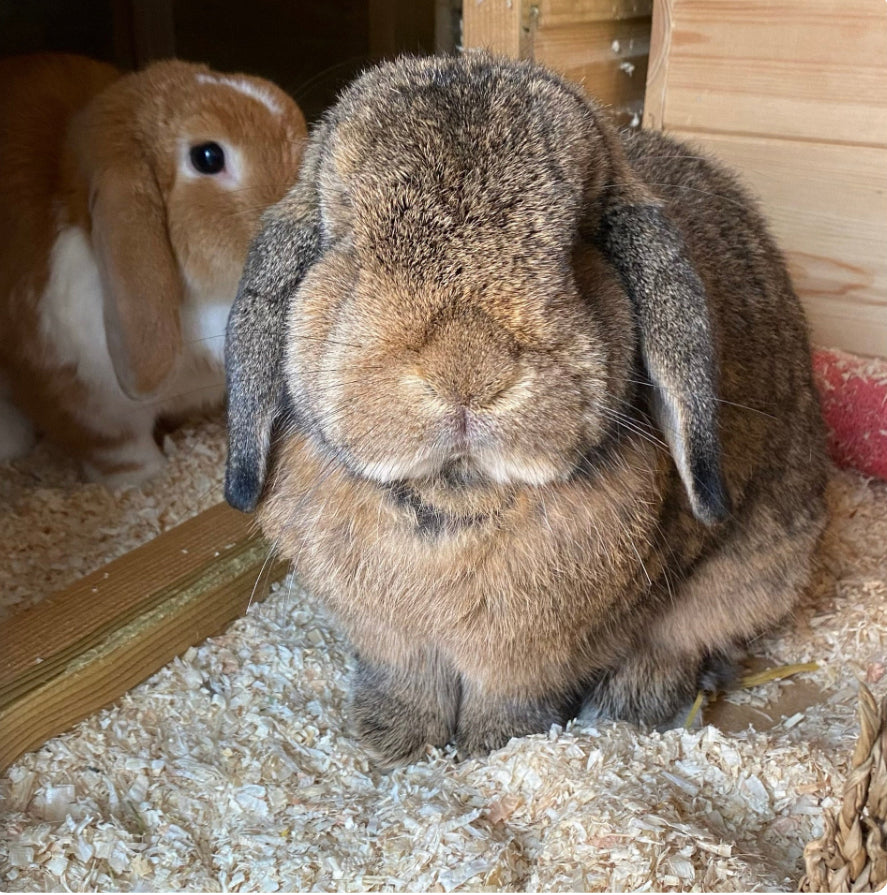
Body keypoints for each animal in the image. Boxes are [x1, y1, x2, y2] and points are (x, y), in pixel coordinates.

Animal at [224, 52, 828, 765]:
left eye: (579, 246)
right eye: (343, 243)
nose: (467, 371)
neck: (457, 497)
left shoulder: (538, 655)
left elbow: (512, 694)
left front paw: (492, 745)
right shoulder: (389, 641)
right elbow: (407, 682)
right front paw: (395, 740)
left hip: (757, 572)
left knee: (691, 640)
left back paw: (633, 702)